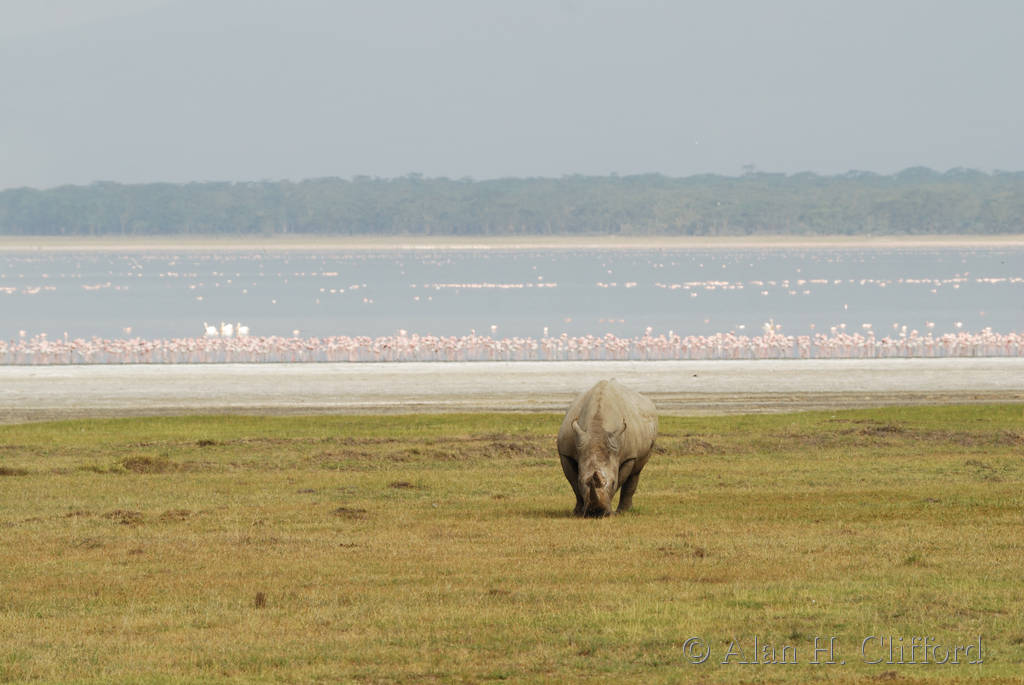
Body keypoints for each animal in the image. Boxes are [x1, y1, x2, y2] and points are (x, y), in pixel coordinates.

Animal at [557, 379, 658, 517]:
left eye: (613, 483)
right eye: (582, 482)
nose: (596, 512)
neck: (597, 431)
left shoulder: (629, 457)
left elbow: (620, 479)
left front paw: (612, 512)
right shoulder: (566, 453)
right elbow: (574, 484)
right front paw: (577, 512)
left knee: (636, 470)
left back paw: (624, 511)